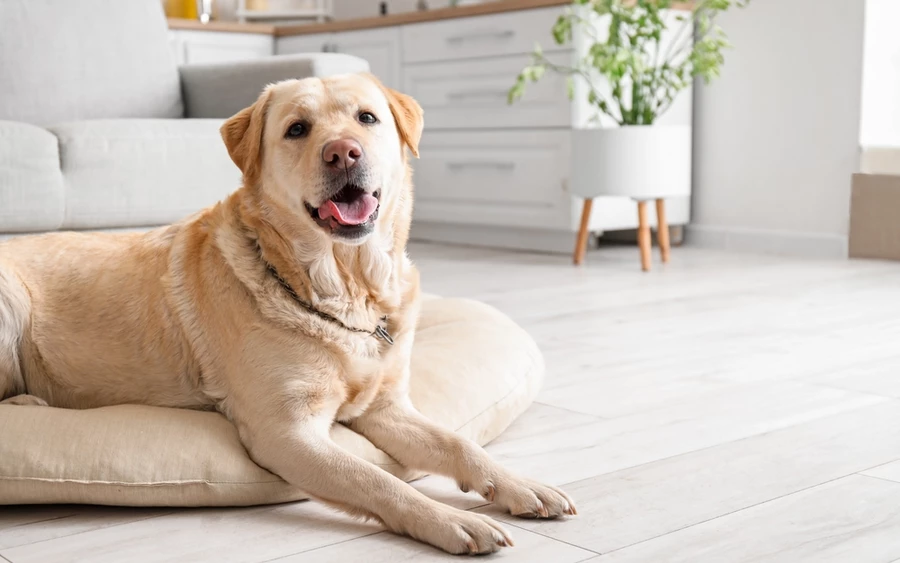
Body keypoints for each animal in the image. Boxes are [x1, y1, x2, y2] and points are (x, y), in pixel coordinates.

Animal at [0, 72, 572, 552]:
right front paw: (451, 519)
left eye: (367, 118)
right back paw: (30, 403)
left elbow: (460, 446)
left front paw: (522, 486)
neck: (345, 287)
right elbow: (378, 478)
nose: (343, 152)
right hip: (10, 304)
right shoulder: (286, 433)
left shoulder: (386, 408)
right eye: (298, 129)